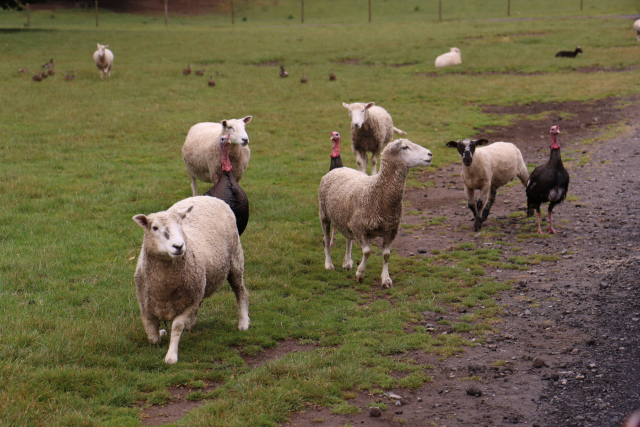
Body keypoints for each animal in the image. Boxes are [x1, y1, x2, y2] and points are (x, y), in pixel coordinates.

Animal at [131, 196, 249, 364]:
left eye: (180, 225)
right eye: (154, 228)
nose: (179, 246)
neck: (164, 288)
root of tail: (209, 197)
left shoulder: (189, 303)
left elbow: (176, 326)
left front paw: (171, 355)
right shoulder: (145, 306)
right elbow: (153, 336)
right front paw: (161, 333)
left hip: (235, 261)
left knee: (241, 292)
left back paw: (243, 322)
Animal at [318, 139, 432, 290]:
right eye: (405, 147)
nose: (430, 154)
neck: (377, 192)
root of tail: (338, 169)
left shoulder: (391, 230)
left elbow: (386, 255)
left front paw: (386, 279)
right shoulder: (359, 228)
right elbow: (367, 252)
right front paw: (360, 274)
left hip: (345, 217)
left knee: (348, 239)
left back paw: (347, 262)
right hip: (324, 214)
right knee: (326, 240)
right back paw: (329, 264)